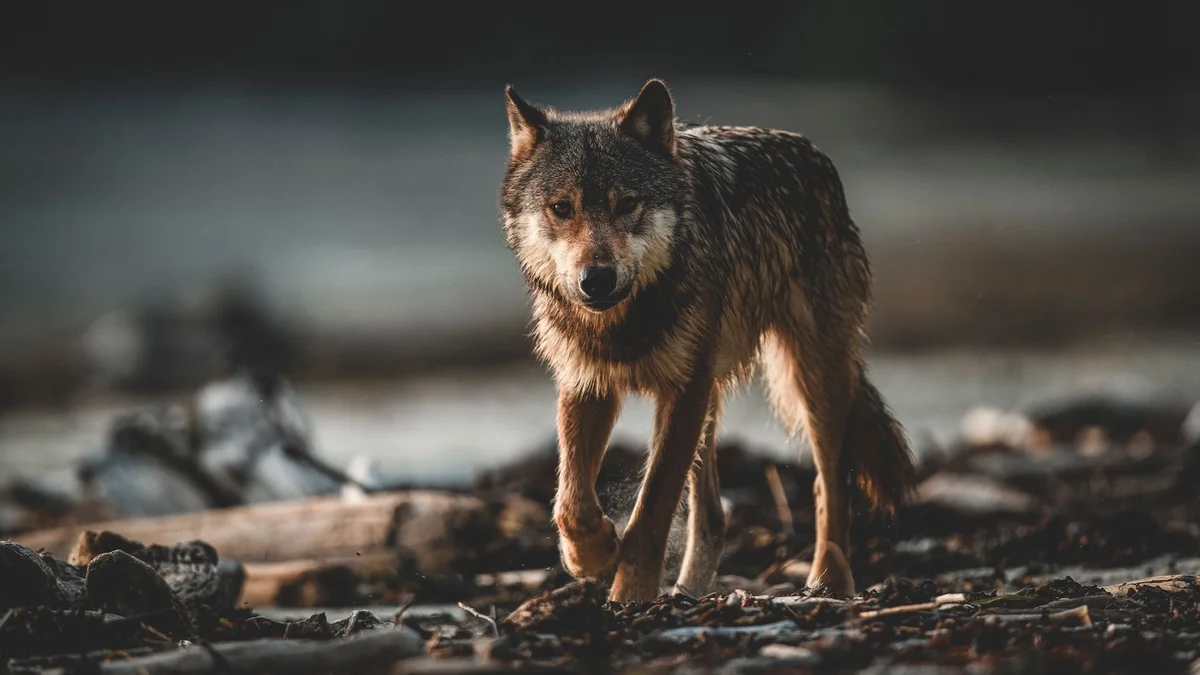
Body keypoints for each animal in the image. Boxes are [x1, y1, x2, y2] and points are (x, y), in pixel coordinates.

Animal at [498, 78, 916, 602]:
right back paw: (689, 591)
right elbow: (570, 502)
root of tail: (815, 155)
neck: (624, 323)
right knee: (715, 515)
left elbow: (652, 510)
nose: (596, 280)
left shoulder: (682, 391)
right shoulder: (587, 384)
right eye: (562, 208)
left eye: (626, 204)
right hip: (713, 393)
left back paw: (827, 583)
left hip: (810, 378)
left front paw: (628, 596)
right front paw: (592, 555)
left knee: (829, 484)